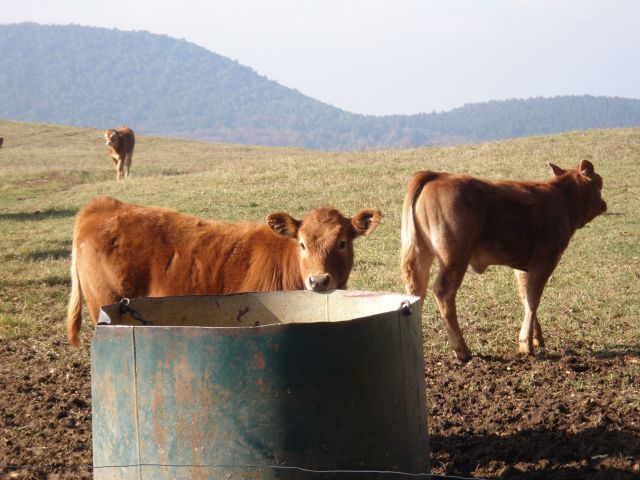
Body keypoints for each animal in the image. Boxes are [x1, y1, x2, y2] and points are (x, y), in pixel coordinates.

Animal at [402, 161, 608, 360]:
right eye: (599, 182)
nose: (604, 204)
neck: (562, 199)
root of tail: (438, 175)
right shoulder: (545, 259)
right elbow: (533, 299)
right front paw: (526, 345)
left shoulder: (524, 267)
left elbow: (525, 297)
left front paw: (536, 338)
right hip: (453, 257)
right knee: (444, 292)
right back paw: (462, 350)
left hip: (421, 253)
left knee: (416, 290)